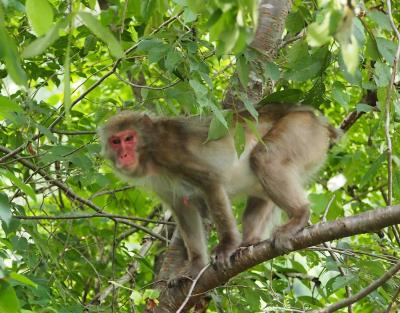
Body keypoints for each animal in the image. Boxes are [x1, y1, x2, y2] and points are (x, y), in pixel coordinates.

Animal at [98, 103, 340, 282]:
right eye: (115, 141)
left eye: (129, 138)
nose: (124, 155)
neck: (150, 154)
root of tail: (317, 118)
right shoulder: (162, 185)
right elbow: (183, 208)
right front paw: (195, 265)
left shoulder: (171, 152)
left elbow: (210, 181)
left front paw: (226, 246)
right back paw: (250, 242)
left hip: (302, 129)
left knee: (264, 159)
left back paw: (299, 215)